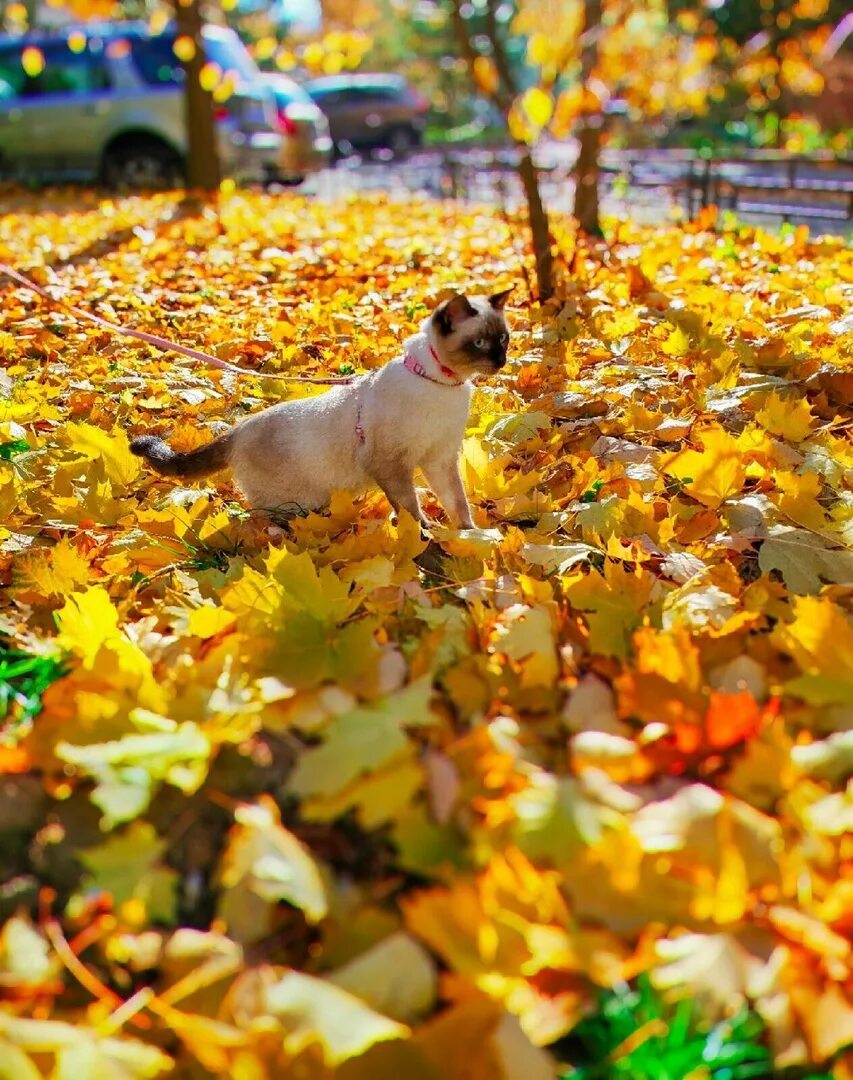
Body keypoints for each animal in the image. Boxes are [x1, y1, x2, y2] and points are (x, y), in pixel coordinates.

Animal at [130, 285, 511, 524]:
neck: (444, 386)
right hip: (294, 503)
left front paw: (470, 537)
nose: (501, 361)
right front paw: (422, 537)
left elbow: (457, 504)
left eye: (504, 339)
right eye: (479, 343)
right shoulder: (391, 464)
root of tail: (238, 429)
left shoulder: (440, 459)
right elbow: (408, 509)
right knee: (262, 521)